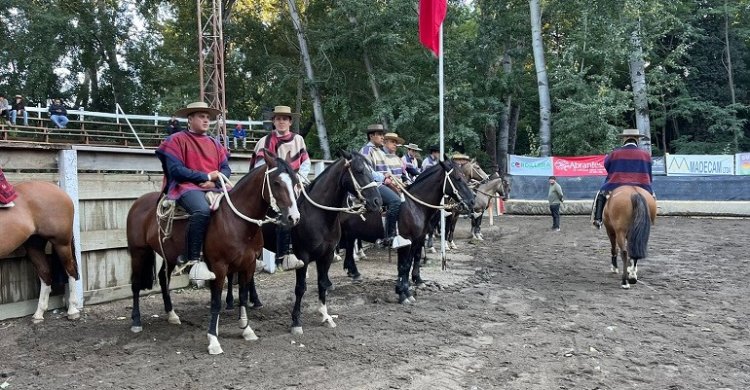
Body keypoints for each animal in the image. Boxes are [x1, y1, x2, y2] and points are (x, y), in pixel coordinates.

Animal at [0, 183, 81, 322]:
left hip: (62, 243)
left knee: (70, 271)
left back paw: (72, 310)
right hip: (34, 245)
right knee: (45, 273)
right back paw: (39, 313)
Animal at [127, 151, 300, 354]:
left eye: (295, 181)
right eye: (276, 182)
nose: (294, 217)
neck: (236, 222)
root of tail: (139, 202)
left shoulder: (248, 265)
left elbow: (242, 296)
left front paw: (246, 329)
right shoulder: (219, 266)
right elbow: (216, 301)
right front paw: (213, 339)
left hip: (168, 255)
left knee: (163, 278)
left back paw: (172, 315)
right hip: (138, 252)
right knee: (136, 284)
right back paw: (136, 321)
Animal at [340, 160, 476, 304]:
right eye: (458, 178)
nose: (472, 200)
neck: (415, 206)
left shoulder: (416, 240)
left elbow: (410, 262)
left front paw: (408, 288)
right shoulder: (405, 241)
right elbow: (403, 266)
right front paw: (402, 293)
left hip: (349, 233)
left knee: (349, 249)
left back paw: (354, 272)